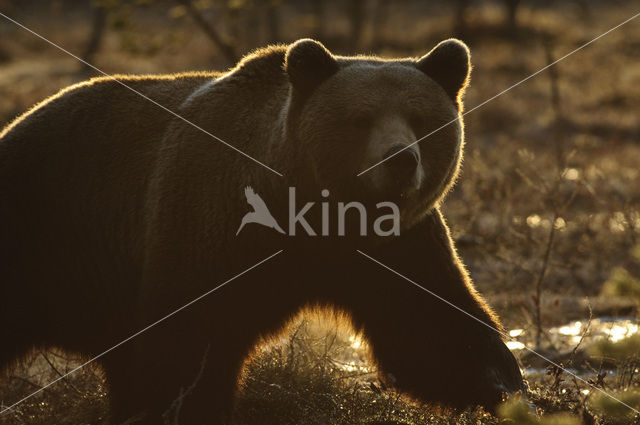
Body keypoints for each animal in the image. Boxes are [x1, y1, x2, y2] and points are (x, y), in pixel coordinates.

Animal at [0, 38, 520, 422]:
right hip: (42, 229)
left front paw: (504, 387)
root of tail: (18, 122)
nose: (400, 160)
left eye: (420, 119)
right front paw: (179, 408)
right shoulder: (209, 222)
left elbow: (432, 324)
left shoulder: (393, 245)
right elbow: (183, 343)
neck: (316, 215)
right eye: (361, 119)